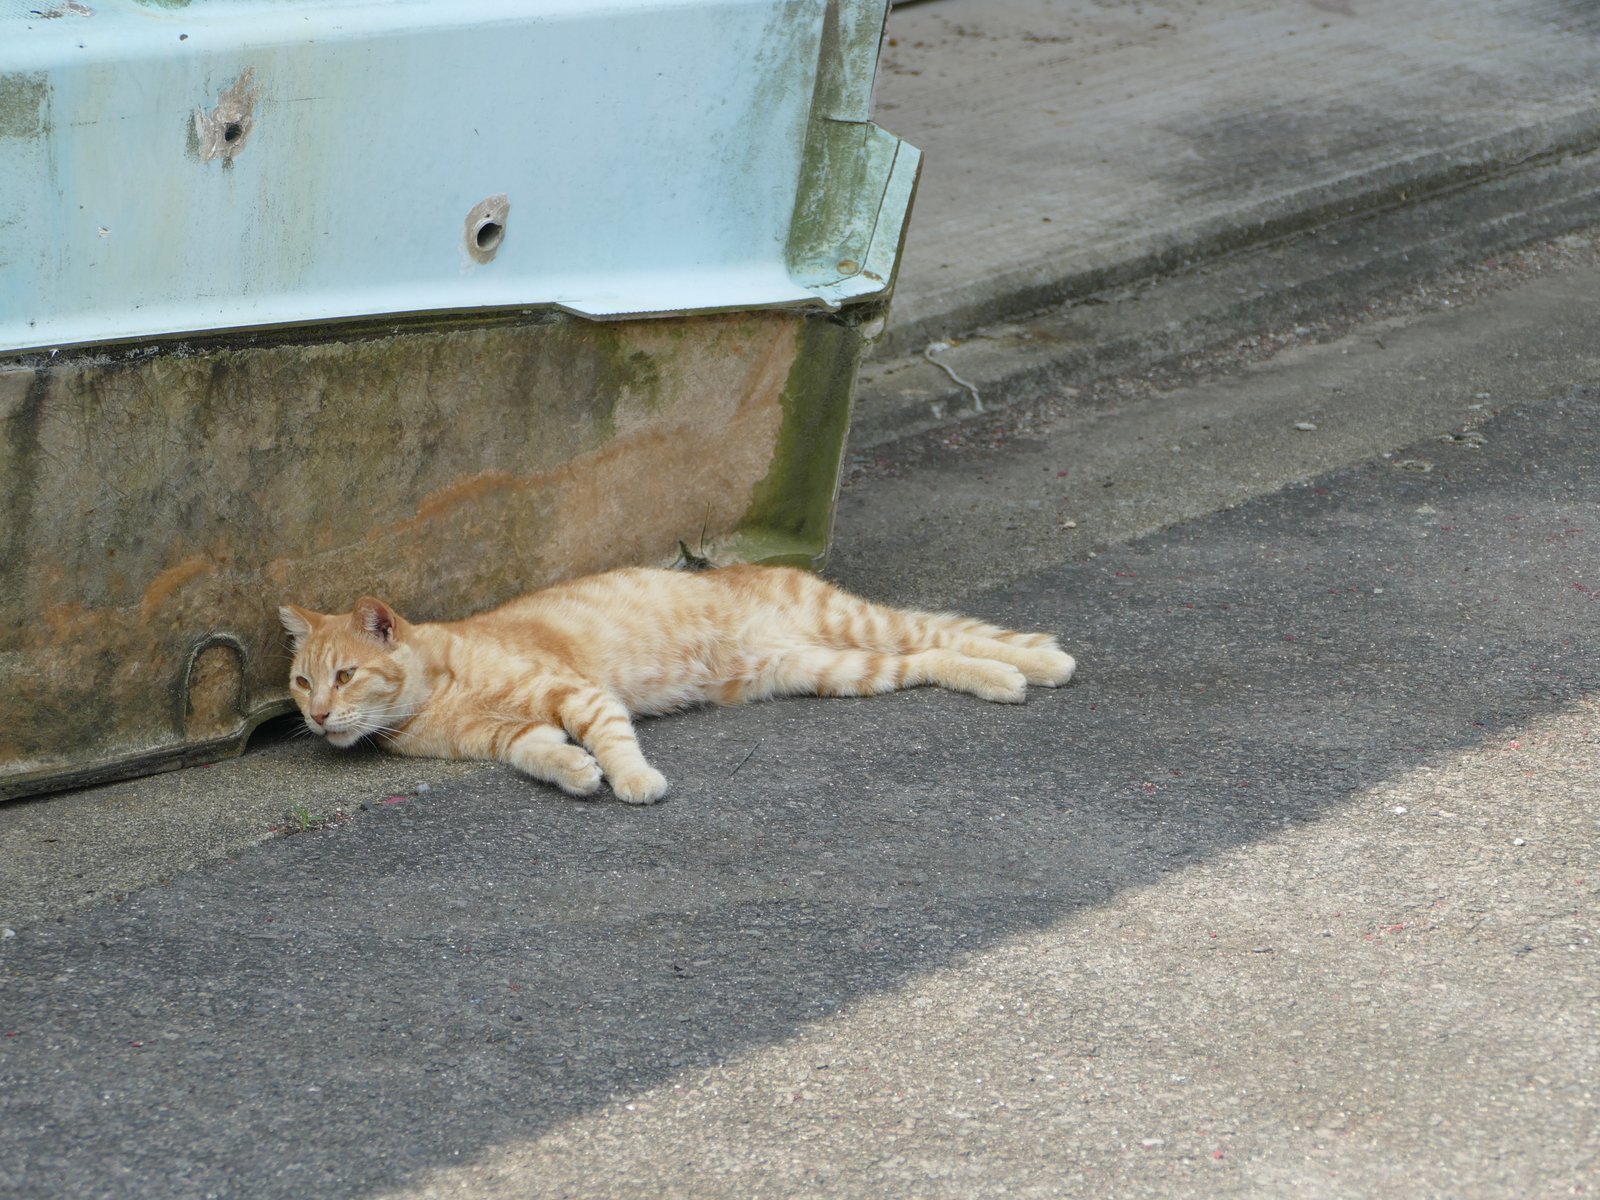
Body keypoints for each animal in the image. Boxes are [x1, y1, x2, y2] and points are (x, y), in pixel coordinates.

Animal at [278, 566, 1075, 809]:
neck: (438, 695)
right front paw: (578, 774)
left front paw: (633, 780)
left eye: (345, 675)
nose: (316, 716)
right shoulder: (515, 734)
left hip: (853, 624)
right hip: (835, 670)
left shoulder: (577, 694)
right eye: (301, 681)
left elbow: (614, 740)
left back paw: (1038, 662)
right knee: (933, 654)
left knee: (937, 632)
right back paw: (1010, 673)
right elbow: (546, 754)